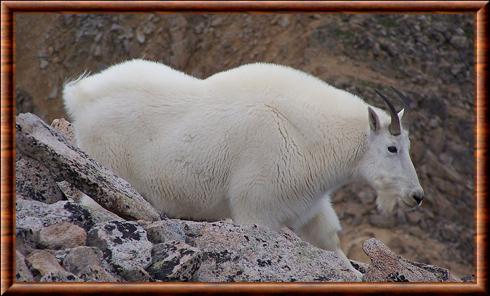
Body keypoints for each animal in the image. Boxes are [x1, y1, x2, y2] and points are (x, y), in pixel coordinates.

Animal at [63, 59, 424, 278]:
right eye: (392, 148)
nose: (416, 196)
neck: (308, 133)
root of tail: (80, 95)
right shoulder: (258, 207)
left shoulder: (309, 207)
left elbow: (331, 242)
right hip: (108, 174)